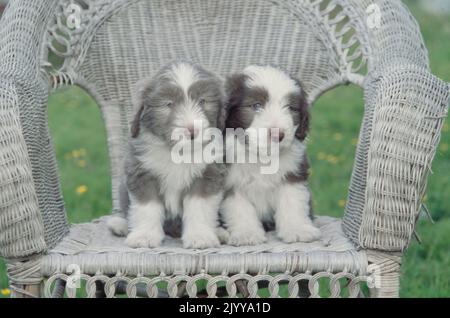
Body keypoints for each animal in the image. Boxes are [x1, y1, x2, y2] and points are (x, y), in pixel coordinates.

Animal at [107, 61, 227, 248]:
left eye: (203, 101)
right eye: (169, 104)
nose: (192, 131)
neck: (178, 153)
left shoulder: (207, 174)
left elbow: (199, 206)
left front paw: (200, 237)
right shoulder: (142, 173)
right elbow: (146, 207)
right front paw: (144, 236)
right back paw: (120, 225)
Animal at [221, 65, 320, 246]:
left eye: (290, 108)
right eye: (256, 105)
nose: (278, 134)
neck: (262, 156)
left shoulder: (292, 173)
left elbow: (293, 202)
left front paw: (298, 230)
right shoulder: (230, 182)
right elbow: (239, 209)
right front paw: (247, 234)